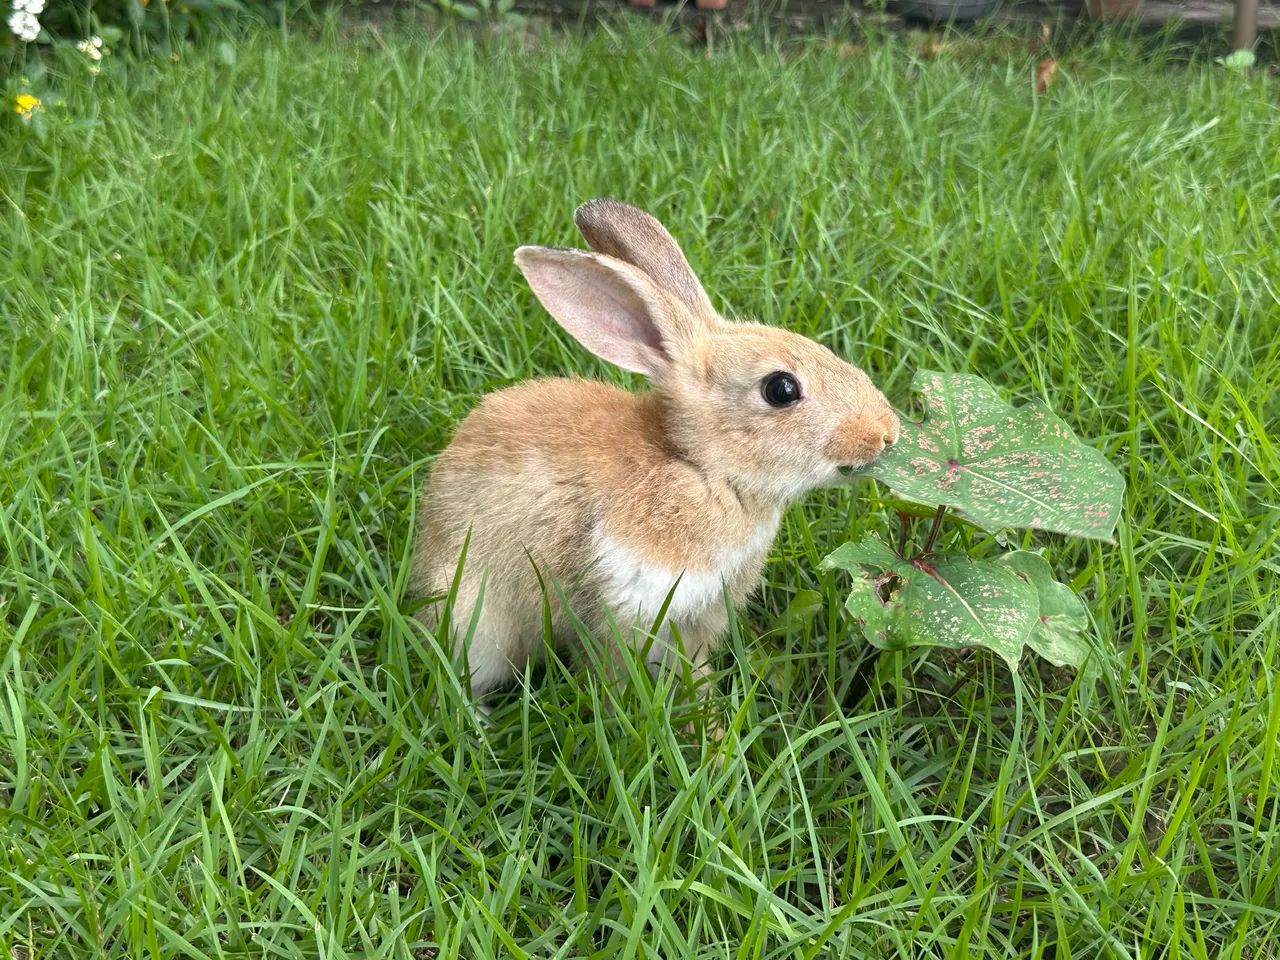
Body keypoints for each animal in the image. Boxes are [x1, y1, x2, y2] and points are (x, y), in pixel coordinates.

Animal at [414, 199, 899, 702]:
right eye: (781, 389)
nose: (886, 432)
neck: (698, 466)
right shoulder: (626, 605)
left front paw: (706, 708)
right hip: (477, 623)